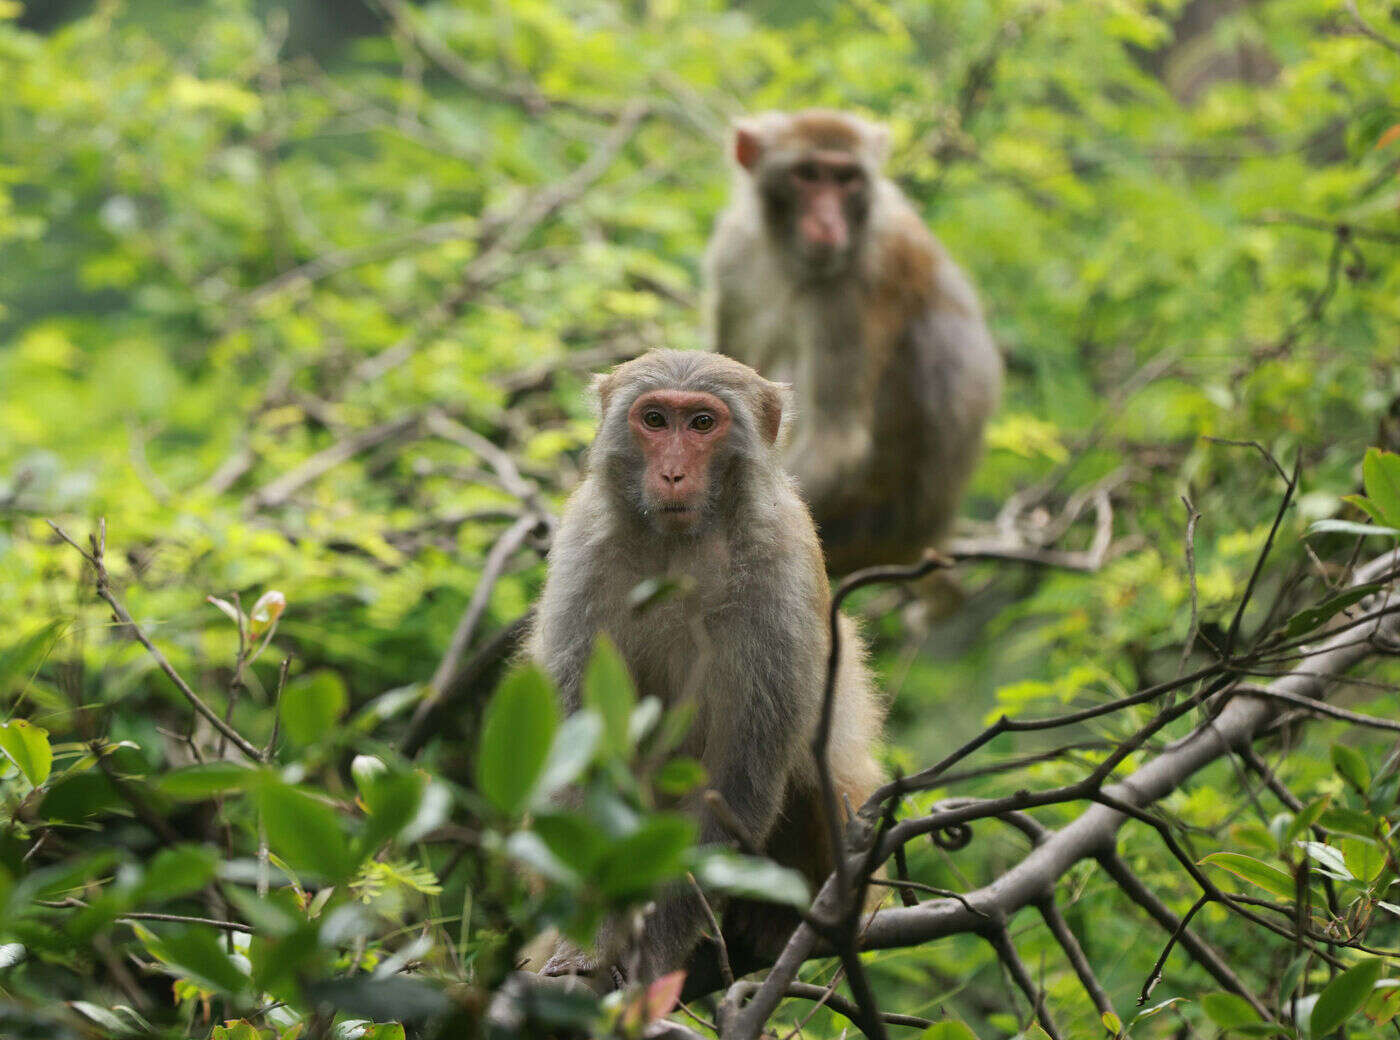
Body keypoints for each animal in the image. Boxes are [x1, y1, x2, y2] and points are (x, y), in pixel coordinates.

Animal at [529, 347, 879, 985]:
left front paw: (649, 955)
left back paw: (772, 923)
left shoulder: (779, 567)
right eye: (655, 420)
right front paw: (589, 942)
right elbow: (581, 752)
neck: (680, 545)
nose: (672, 473)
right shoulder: (583, 549)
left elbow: (737, 776)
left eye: (701, 424)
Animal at [705, 111, 1002, 576]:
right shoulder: (732, 252)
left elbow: (836, 441)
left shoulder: (853, 288)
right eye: (808, 174)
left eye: (847, 178)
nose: (829, 223)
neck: (786, 255)